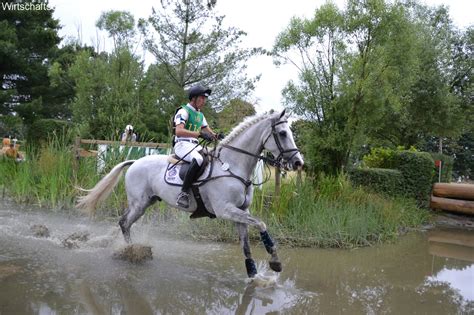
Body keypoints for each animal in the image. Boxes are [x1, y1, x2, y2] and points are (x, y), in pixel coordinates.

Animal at [77, 110, 304, 278]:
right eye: (282, 133)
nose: (298, 163)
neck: (233, 166)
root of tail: (134, 161)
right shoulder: (225, 210)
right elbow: (261, 223)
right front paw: (275, 262)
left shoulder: (241, 211)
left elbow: (247, 245)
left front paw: (253, 275)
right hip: (139, 204)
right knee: (124, 222)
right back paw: (130, 251)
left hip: (147, 202)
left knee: (126, 223)